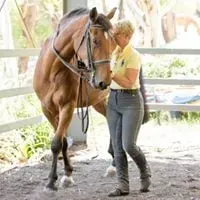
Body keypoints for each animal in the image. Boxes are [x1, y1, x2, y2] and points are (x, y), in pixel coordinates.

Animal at [33, 7, 117, 190]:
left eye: (113, 43)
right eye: (95, 40)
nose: (105, 81)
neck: (52, 70)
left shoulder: (67, 107)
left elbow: (56, 143)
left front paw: (52, 180)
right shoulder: (48, 110)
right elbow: (62, 141)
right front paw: (67, 174)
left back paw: (114, 165)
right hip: (99, 103)